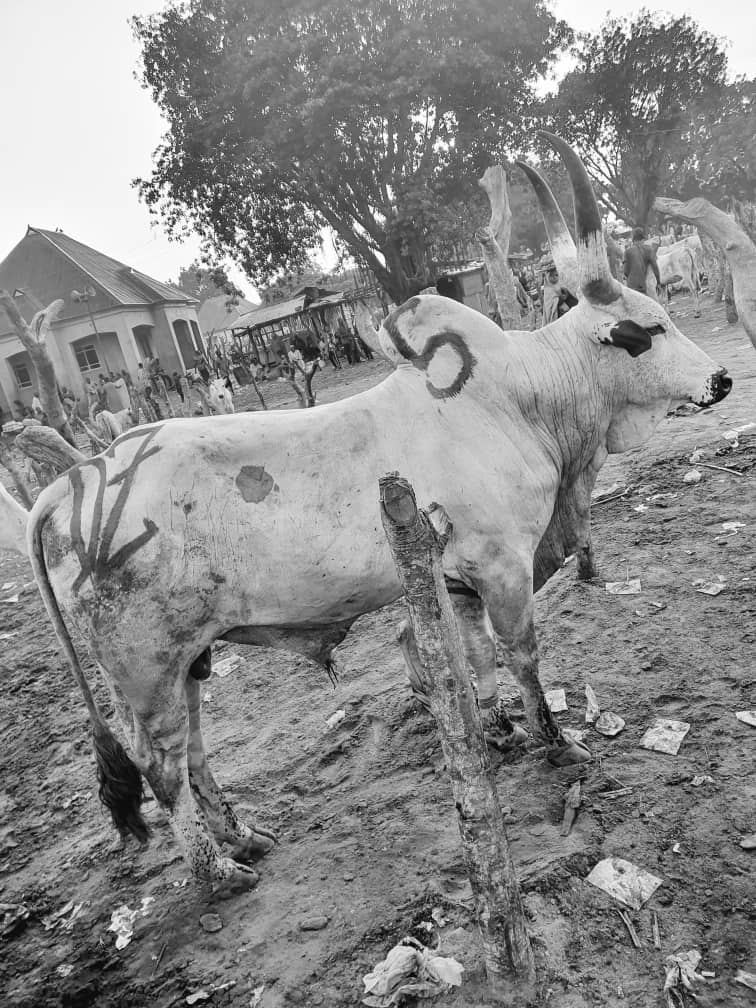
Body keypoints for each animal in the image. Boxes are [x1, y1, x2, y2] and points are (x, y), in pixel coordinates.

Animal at [0, 135, 731, 891]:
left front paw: (496, 732)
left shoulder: (460, 581)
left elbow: (477, 660)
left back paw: (243, 837)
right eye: (648, 330)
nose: (722, 379)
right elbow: (523, 657)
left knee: (194, 751)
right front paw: (555, 744)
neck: (519, 398)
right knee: (160, 764)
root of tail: (72, 482)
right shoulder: (505, 569)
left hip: (188, 658)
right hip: (145, 666)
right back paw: (217, 871)